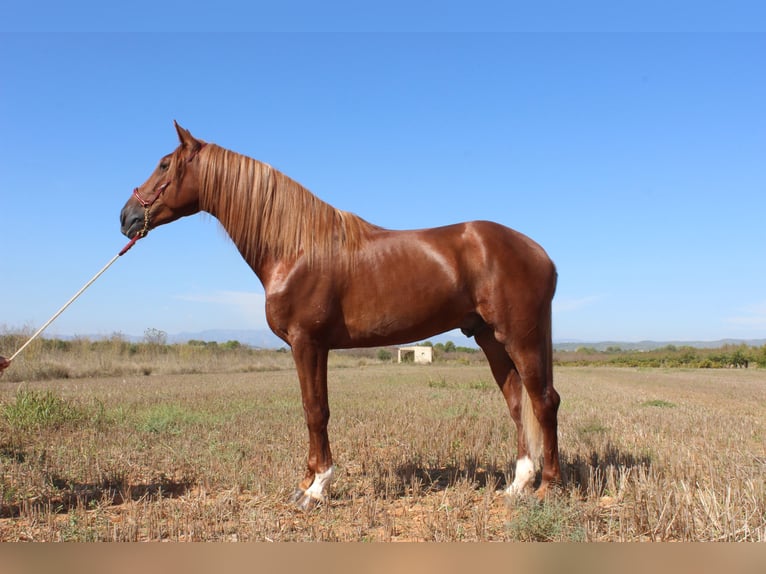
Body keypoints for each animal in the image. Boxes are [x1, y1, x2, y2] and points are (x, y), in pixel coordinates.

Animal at [120, 122, 561, 510]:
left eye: (164, 165)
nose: (126, 217)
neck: (296, 247)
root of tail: (540, 253)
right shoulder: (315, 347)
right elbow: (313, 408)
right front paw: (306, 482)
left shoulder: (307, 342)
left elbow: (316, 411)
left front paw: (316, 489)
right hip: (490, 338)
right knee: (517, 403)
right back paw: (517, 485)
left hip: (519, 337)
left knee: (544, 401)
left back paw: (547, 489)